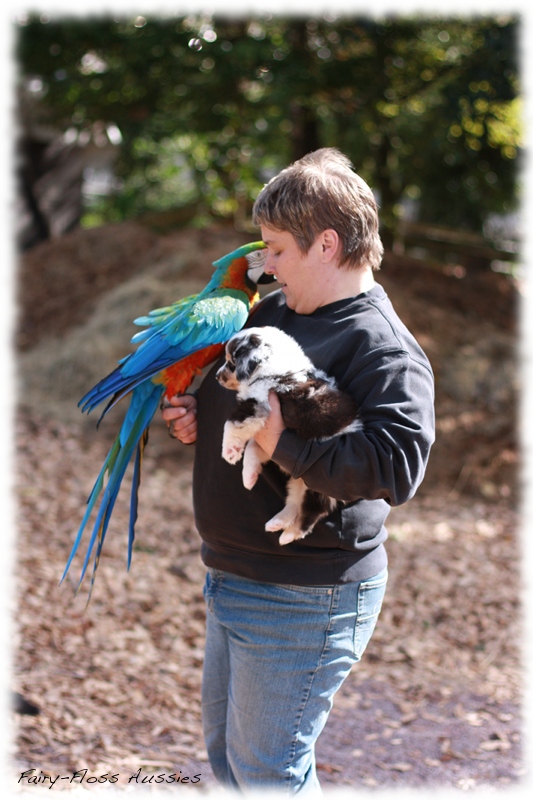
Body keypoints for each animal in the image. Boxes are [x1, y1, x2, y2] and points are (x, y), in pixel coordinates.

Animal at [214, 324, 360, 544]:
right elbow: (253, 449)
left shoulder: (257, 404)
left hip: (319, 486)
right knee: (293, 503)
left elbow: (231, 425)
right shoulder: (269, 439)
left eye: (231, 363)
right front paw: (249, 476)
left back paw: (289, 534)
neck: (270, 371)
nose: (216, 376)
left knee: (312, 511)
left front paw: (229, 452)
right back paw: (277, 523)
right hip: (298, 483)